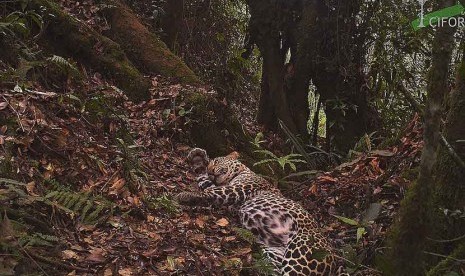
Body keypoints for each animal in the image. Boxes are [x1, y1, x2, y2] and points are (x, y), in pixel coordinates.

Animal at [176, 148, 342, 274]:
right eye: (211, 165)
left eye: (216, 161)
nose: (211, 171)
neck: (243, 171)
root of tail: (335, 258)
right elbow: (204, 181)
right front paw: (198, 158)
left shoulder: (239, 188)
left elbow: (210, 191)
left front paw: (185, 195)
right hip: (276, 253)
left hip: (303, 252)